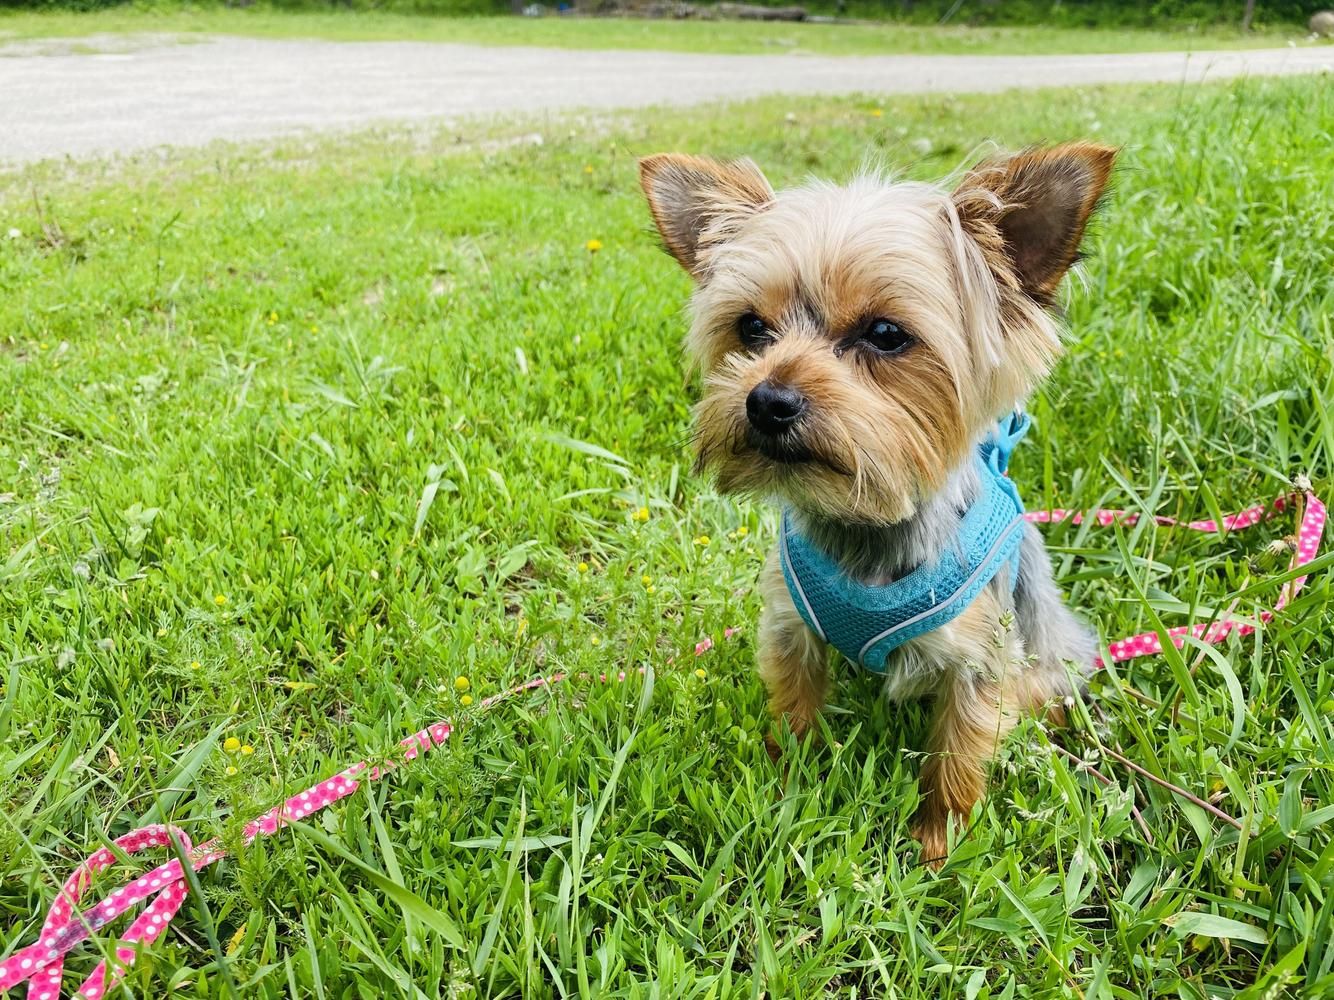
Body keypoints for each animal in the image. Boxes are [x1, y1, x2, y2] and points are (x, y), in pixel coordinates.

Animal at [634, 142, 1115, 869]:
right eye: (751, 327)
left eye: (886, 333)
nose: (766, 400)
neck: (866, 521)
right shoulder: (790, 627)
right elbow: (794, 710)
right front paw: (786, 788)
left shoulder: (980, 661)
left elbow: (959, 753)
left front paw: (940, 845)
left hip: (1046, 643)